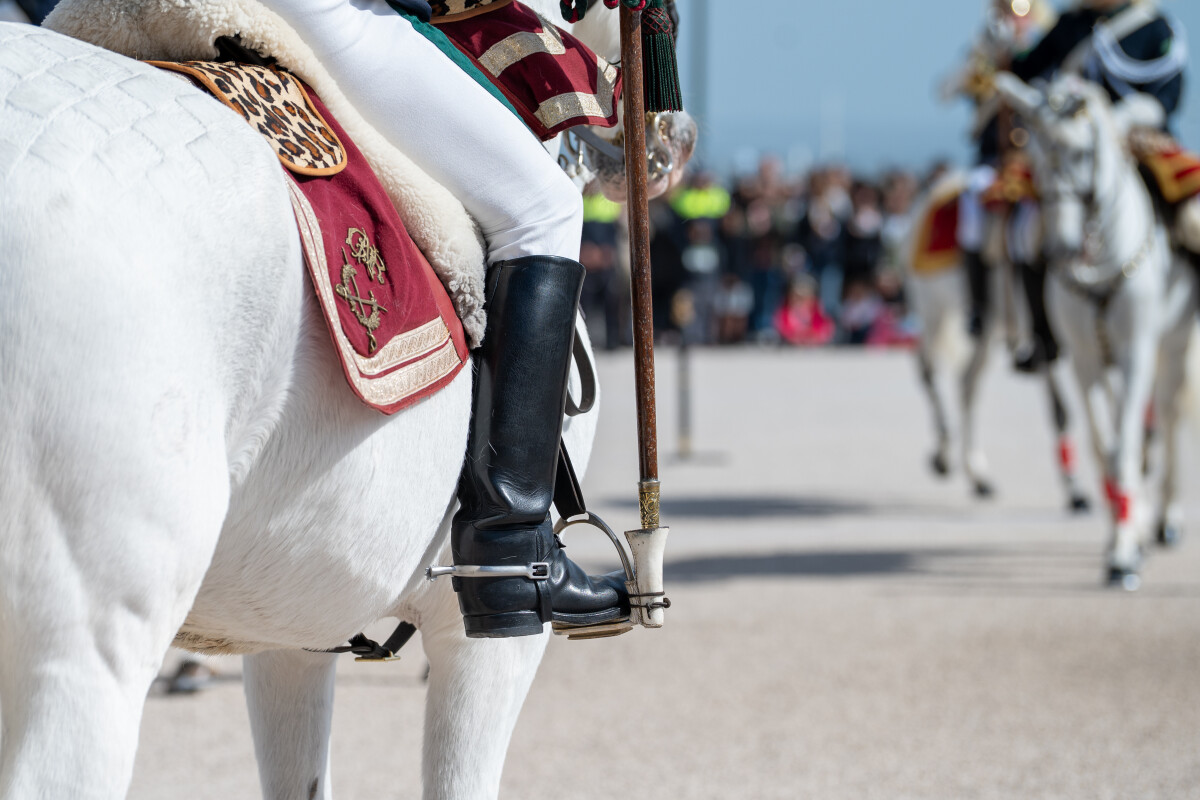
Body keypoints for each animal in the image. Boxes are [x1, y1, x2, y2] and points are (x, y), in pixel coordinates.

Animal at [904, 173, 1092, 510]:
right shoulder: (1045, 339)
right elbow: (1060, 412)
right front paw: (1074, 487)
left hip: (988, 329)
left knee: (967, 383)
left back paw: (977, 475)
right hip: (932, 310)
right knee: (927, 369)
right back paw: (944, 451)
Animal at [993, 72, 1199, 589]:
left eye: (1084, 153)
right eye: (1034, 152)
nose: (1064, 249)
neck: (1102, 261)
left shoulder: (1138, 349)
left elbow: (1126, 444)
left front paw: (1125, 555)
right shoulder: (1085, 359)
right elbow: (1106, 445)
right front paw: (1123, 538)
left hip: (1173, 344)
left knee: (1168, 416)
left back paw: (1167, 519)